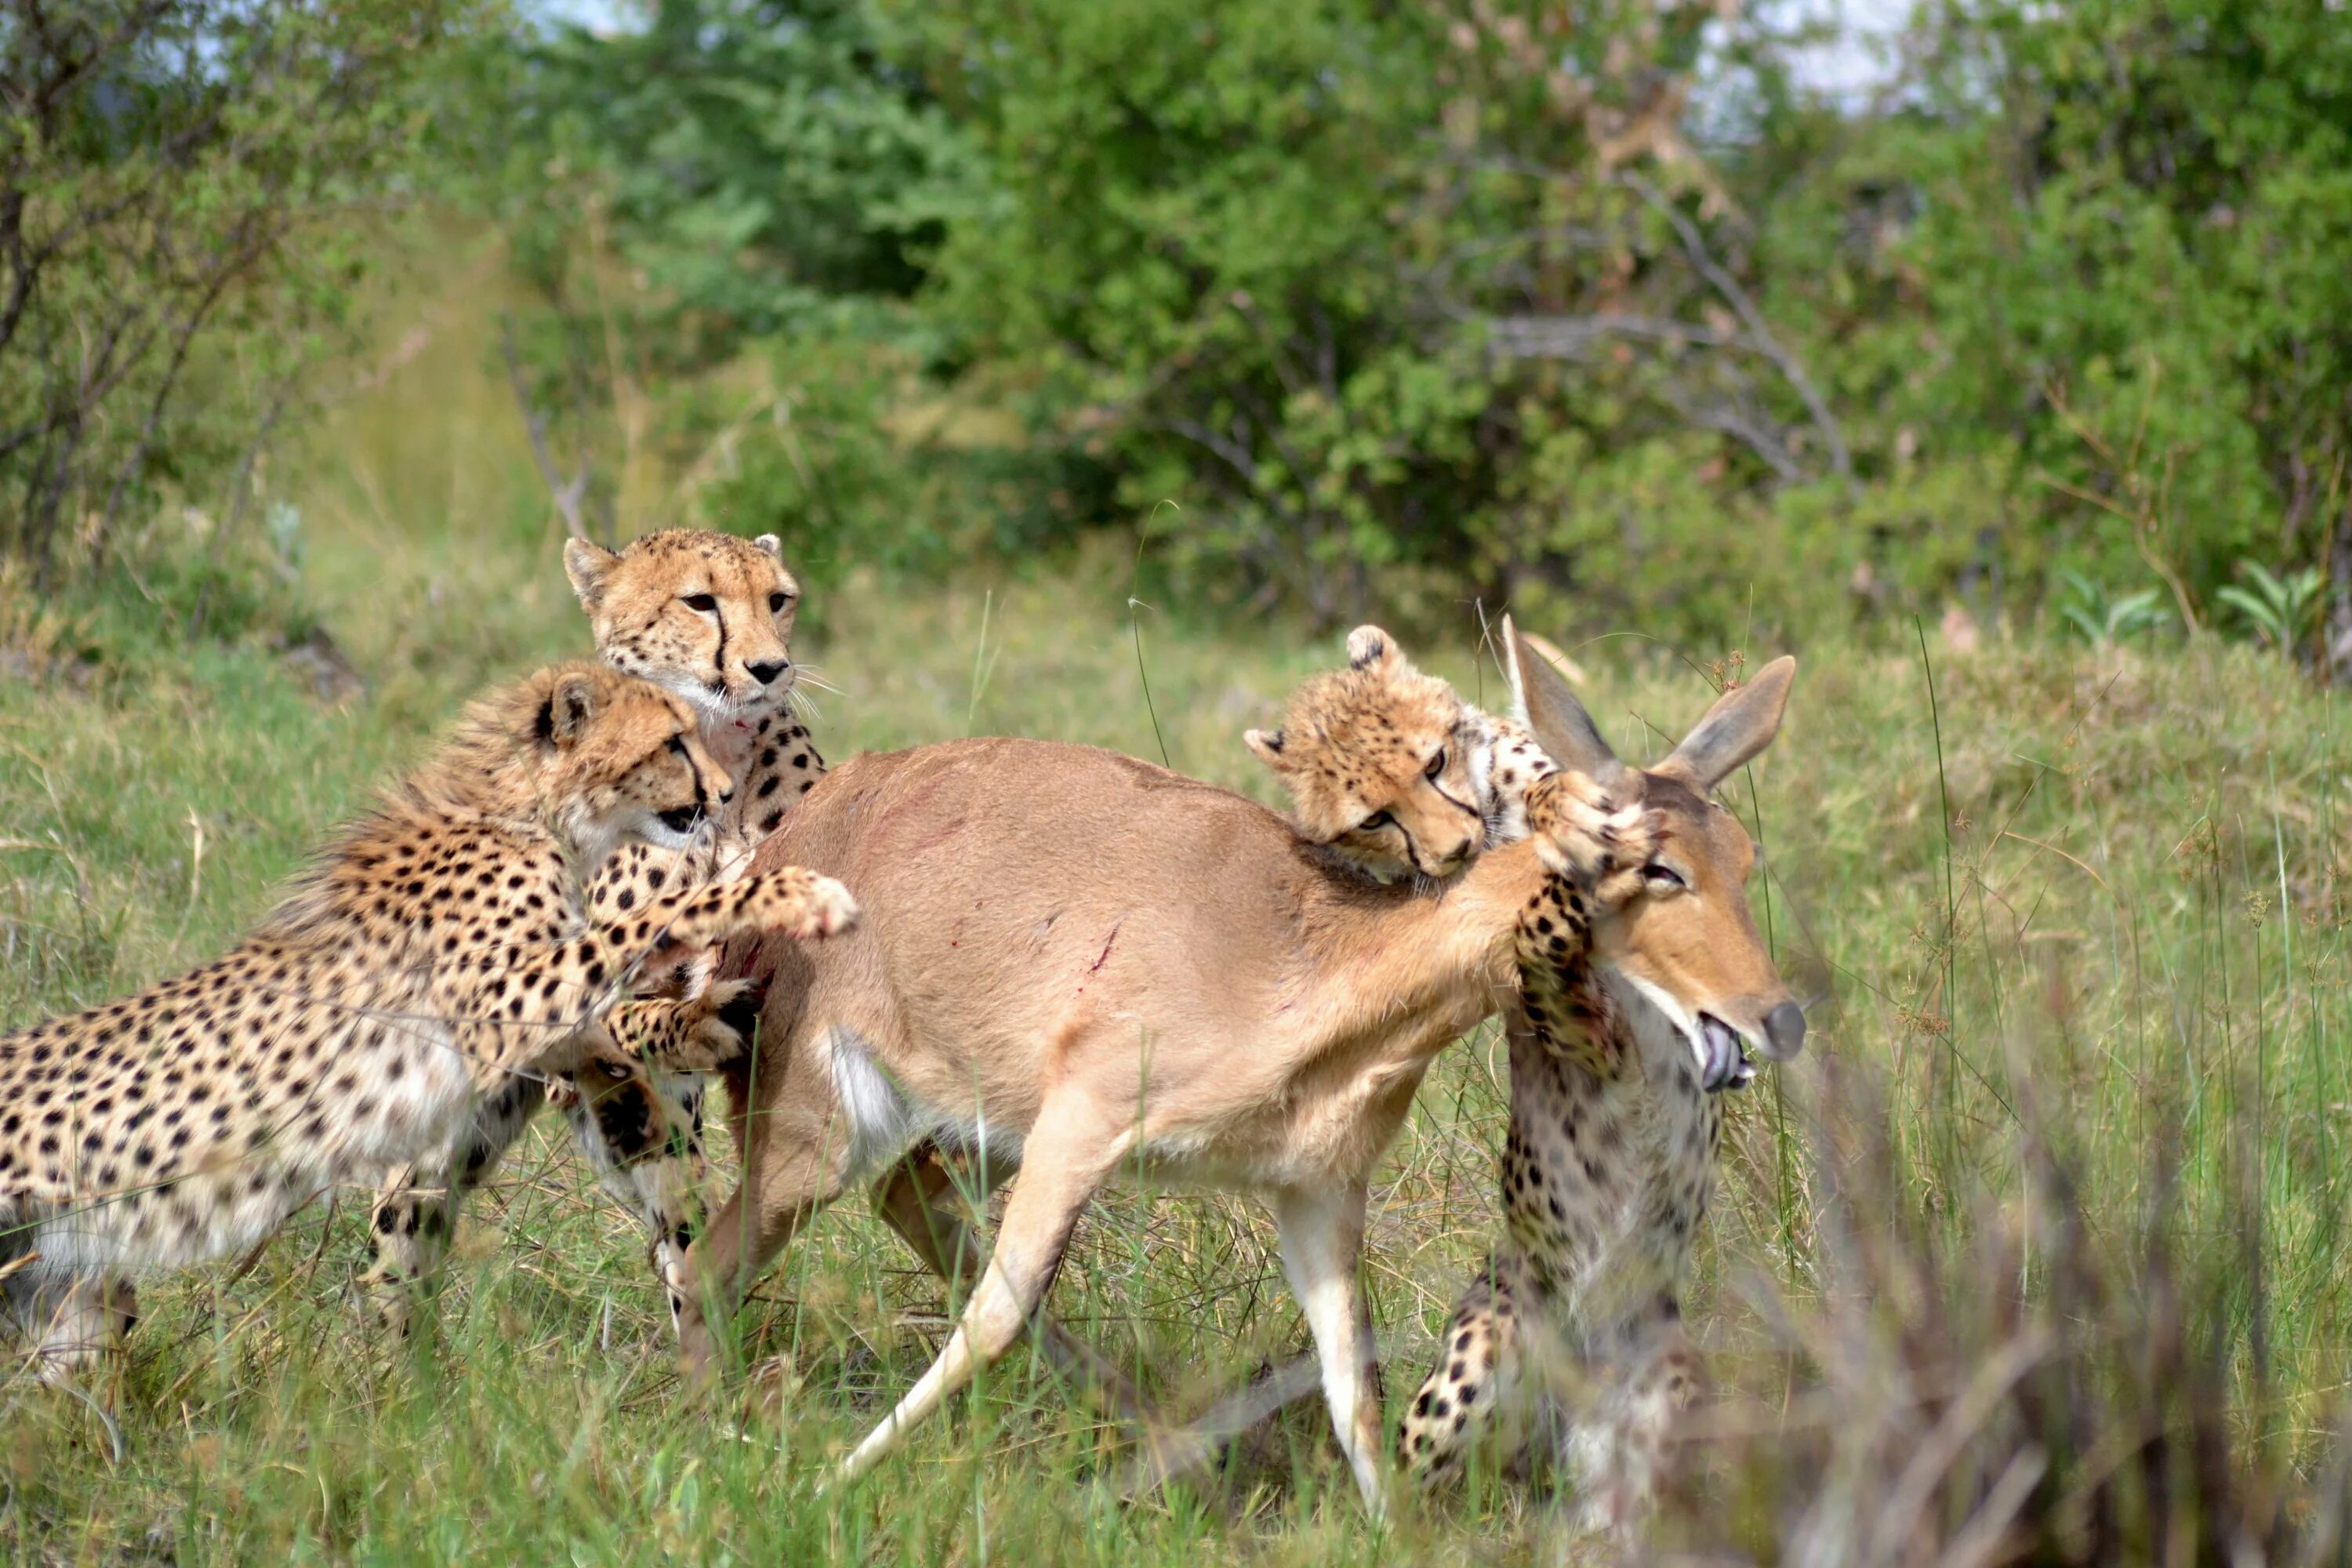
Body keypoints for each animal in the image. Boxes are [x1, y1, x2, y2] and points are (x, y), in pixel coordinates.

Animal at [2, 667, 856, 1382]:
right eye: (673, 740)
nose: (722, 792)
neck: (533, 813)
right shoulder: (505, 999)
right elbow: (651, 919)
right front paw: (791, 893)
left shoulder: (528, 1030)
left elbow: (617, 1023)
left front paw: (701, 1023)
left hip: (73, 1297)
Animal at [682, 620, 1797, 1504]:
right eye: (1653, 863)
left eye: (1744, 853)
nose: (1777, 1016)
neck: (1308, 962)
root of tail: (791, 837)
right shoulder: (1083, 1124)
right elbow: (996, 1312)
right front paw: (829, 1482)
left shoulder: (1314, 1191)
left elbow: (1354, 1387)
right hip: (819, 1138)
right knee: (708, 1262)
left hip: (967, 1132)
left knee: (898, 1201)